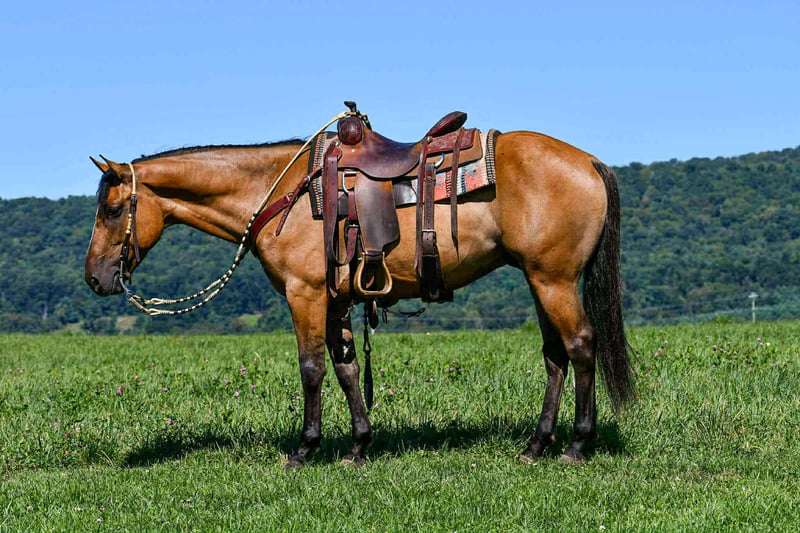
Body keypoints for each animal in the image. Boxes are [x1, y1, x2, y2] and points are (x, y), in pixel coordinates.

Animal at [85, 115, 634, 467]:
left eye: (111, 210)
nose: (94, 277)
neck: (277, 191)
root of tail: (588, 161)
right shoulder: (335, 299)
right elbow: (347, 368)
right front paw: (357, 446)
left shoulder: (305, 293)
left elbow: (311, 368)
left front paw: (305, 449)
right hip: (538, 278)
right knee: (555, 356)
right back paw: (536, 446)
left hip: (554, 280)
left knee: (581, 347)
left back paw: (576, 446)